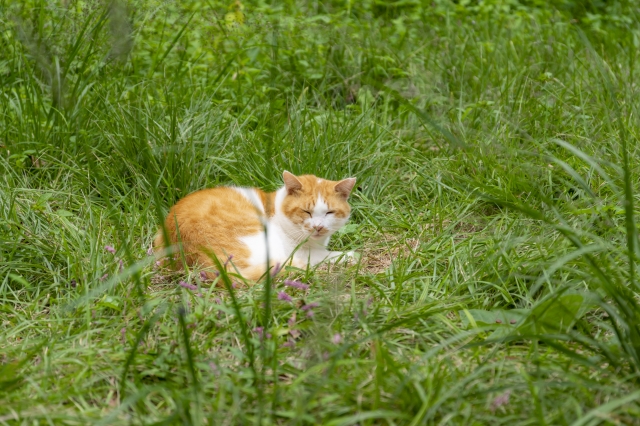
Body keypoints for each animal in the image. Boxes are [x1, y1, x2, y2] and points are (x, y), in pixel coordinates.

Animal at [153, 171, 358, 282]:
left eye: (329, 213)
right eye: (306, 212)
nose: (318, 227)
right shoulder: (299, 252)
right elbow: (326, 256)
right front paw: (349, 256)